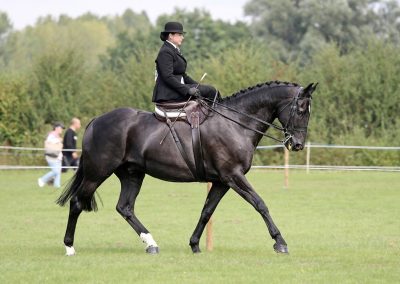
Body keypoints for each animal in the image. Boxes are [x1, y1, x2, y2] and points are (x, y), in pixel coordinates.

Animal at [57, 80, 318, 255]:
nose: (297, 144)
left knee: (125, 208)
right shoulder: (233, 176)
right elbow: (260, 204)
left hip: (132, 174)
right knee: (77, 203)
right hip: (98, 173)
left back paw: (151, 244)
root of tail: (96, 121)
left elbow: (207, 211)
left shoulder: (222, 181)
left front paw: (194, 244)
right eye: (301, 109)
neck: (237, 123)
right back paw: (69, 247)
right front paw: (280, 242)